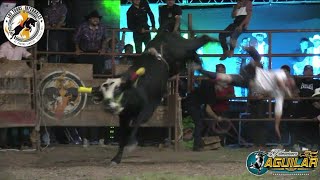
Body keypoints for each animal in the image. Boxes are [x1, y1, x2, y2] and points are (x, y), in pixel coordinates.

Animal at [79, 31, 216, 164]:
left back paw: (213, 41)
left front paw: (131, 143)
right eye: (102, 94)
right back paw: (196, 62)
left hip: (182, 48)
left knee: (201, 39)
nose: (108, 106)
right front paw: (116, 158)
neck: (133, 91)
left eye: (118, 90)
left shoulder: (148, 109)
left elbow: (136, 124)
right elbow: (122, 136)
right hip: (177, 63)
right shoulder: (124, 117)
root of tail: (166, 34)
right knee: (191, 54)